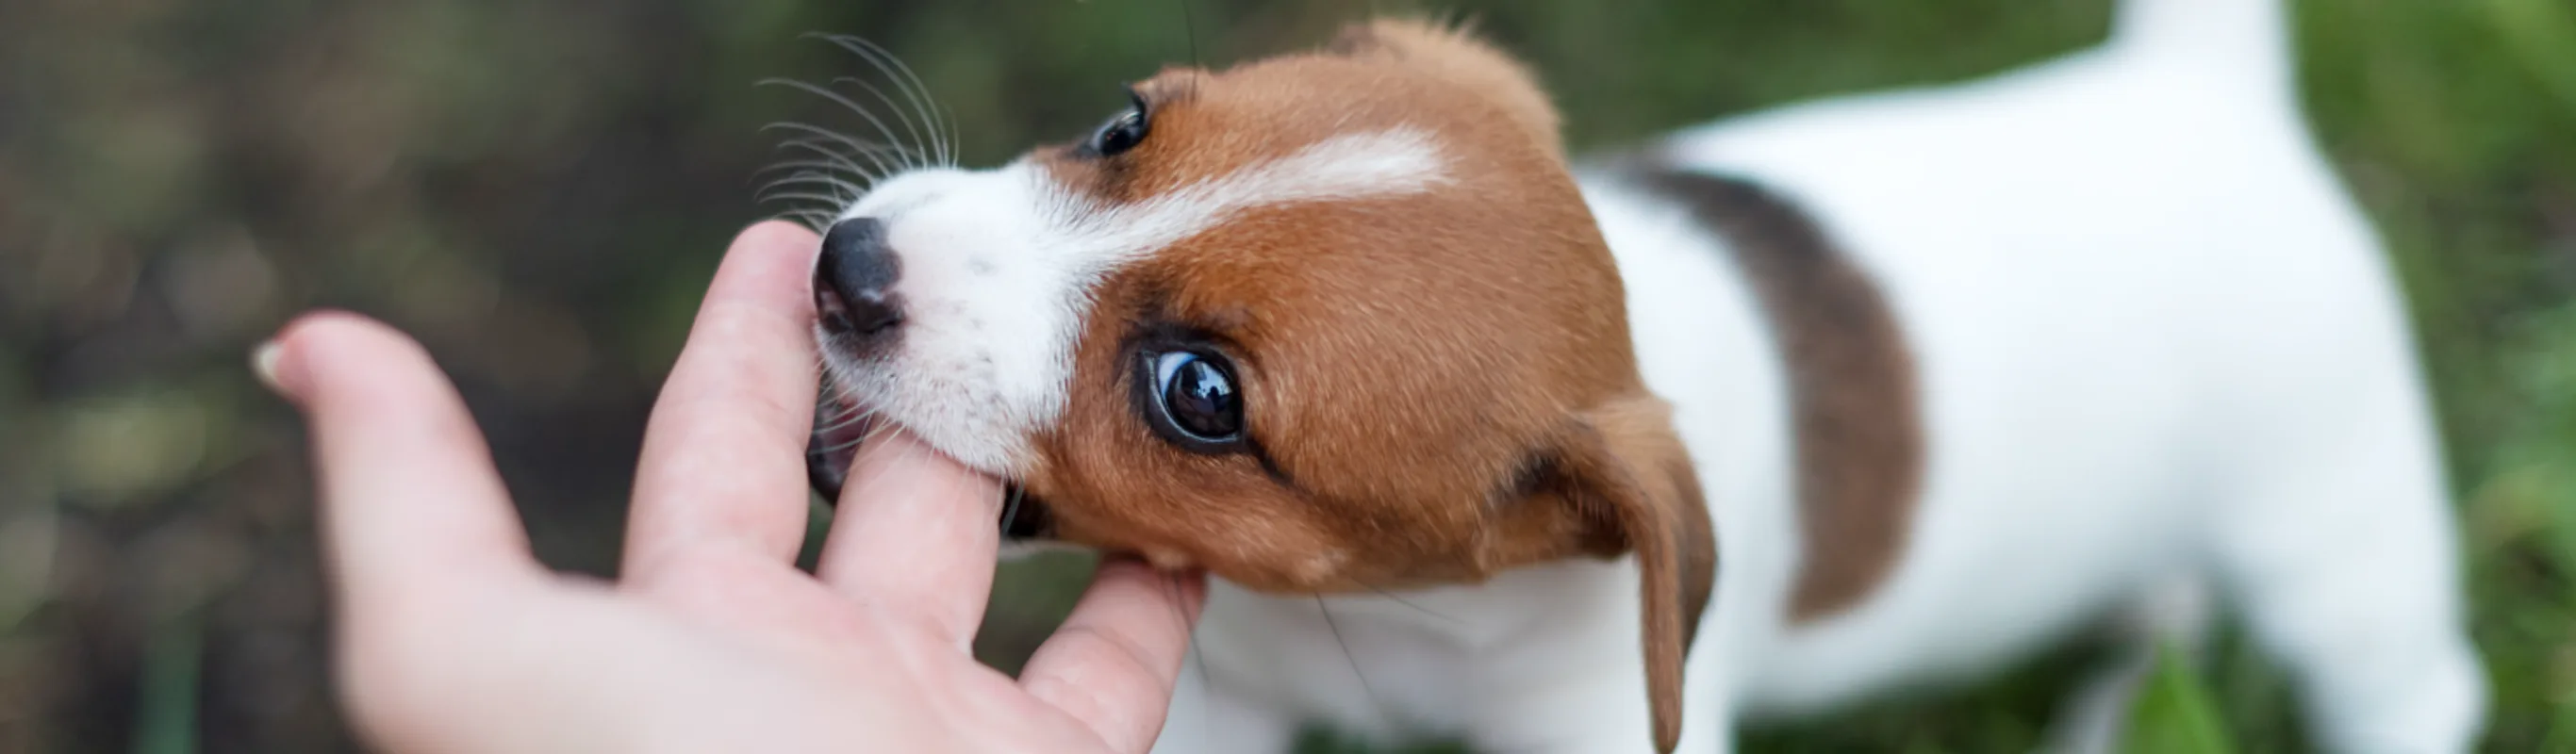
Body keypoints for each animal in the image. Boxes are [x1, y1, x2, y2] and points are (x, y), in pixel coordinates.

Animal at [798, 3, 2472, 746]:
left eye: (1198, 396)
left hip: (2337, 549)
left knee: (2411, 684)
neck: (1396, 621)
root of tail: (2205, 94)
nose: (849, 267)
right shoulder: (1227, 708)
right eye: (1126, 124)